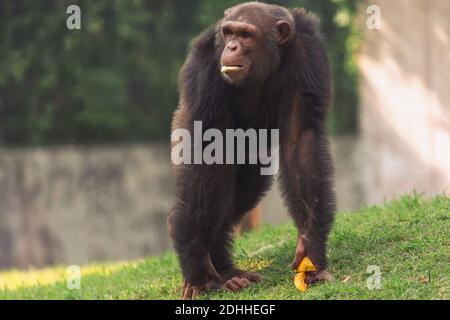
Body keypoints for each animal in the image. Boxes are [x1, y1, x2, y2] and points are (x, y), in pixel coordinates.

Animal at [169, 1, 334, 300]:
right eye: (229, 32)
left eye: (246, 35)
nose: (232, 46)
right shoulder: (204, 70)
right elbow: (209, 152)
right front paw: (196, 266)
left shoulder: (309, 53)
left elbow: (299, 139)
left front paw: (309, 246)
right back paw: (214, 271)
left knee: (244, 192)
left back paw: (227, 272)